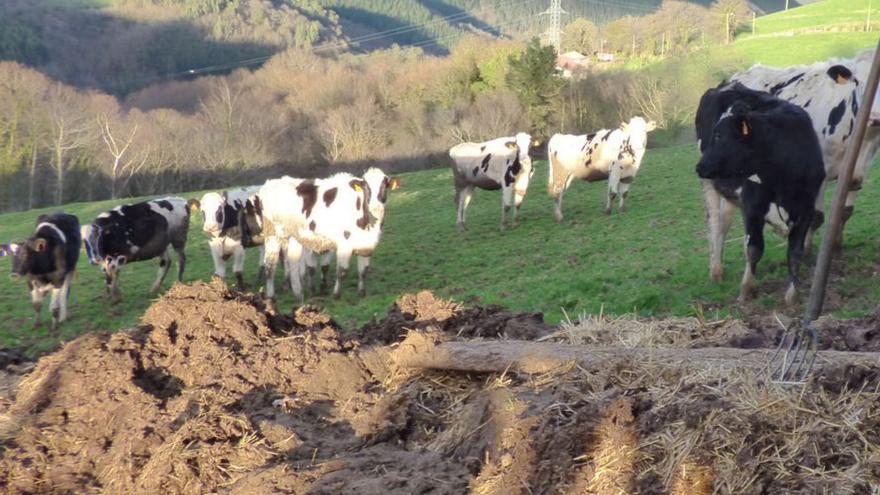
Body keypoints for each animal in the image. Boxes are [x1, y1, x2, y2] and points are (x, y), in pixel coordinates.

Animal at [258, 174, 374, 302]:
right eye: (368, 191)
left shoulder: (365, 245)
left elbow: (362, 269)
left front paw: (361, 292)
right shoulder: (344, 243)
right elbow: (341, 271)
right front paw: (335, 294)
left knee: (288, 262)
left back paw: (295, 294)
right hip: (274, 237)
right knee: (271, 265)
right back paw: (273, 296)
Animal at [696, 85, 824, 304]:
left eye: (719, 136)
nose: (699, 166)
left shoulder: (806, 208)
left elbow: (795, 251)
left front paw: (792, 294)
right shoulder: (753, 206)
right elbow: (754, 248)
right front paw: (746, 289)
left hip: (730, 194)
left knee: (723, 225)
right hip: (709, 186)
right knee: (714, 225)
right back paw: (716, 271)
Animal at [700, 50, 880, 282]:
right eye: (858, 82)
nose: (875, 117)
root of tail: (729, 81)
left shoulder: (858, 172)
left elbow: (846, 211)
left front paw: (836, 250)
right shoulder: (818, 175)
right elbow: (816, 218)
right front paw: (808, 254)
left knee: (727, 218)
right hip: (709, 176)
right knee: (714, 220)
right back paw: (716, 270)